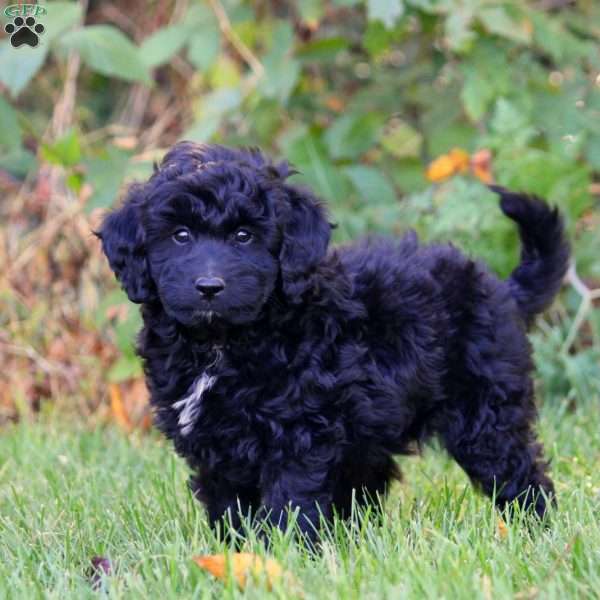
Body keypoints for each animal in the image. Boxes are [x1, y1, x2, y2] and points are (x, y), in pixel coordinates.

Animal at [97, 143, 568, 540]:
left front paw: (283, 553)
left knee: (518, 472)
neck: (222, 344)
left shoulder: (300, 432)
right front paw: (235, 552)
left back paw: (536, 531)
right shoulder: (214, 444)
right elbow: (229, 504)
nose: (209, 286)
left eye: (244, 236)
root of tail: (503, 290)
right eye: (180, 235)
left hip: (486, 411)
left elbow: (289, 500)